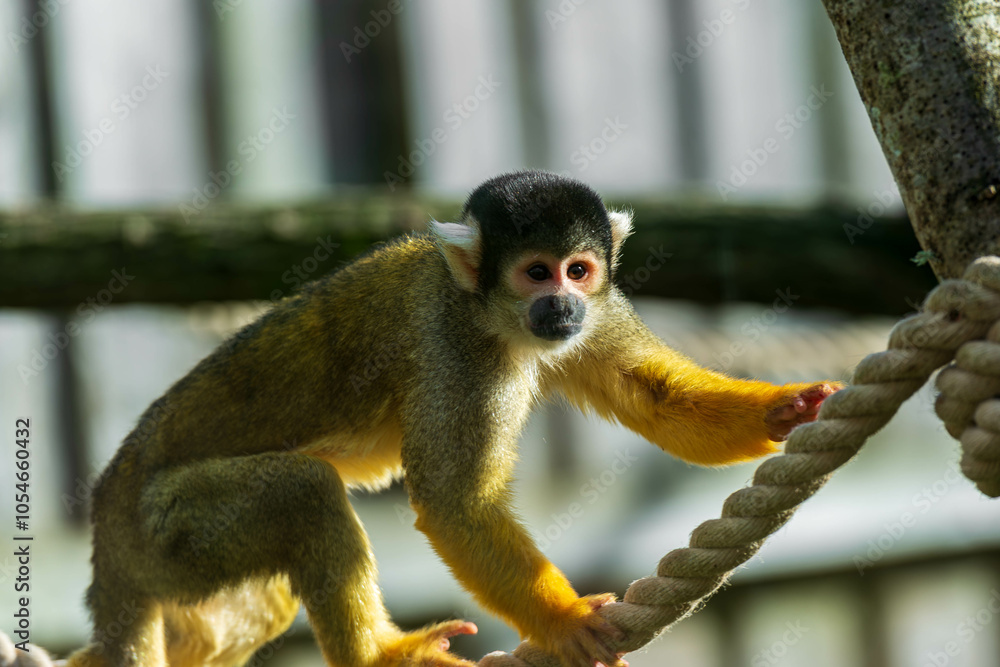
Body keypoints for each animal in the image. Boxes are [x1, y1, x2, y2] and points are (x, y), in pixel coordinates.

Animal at [65, 170, 839, 667]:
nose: (562, 305)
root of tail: (106, 521)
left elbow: (653, 396)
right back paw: (376, 656)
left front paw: (787, 405)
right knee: (304, 491)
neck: (489, 314)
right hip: (168, 529)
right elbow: (452, 500)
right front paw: (565, 620)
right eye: (536, 272)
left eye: (579, 270)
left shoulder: (597, 311)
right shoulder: (454, 349)